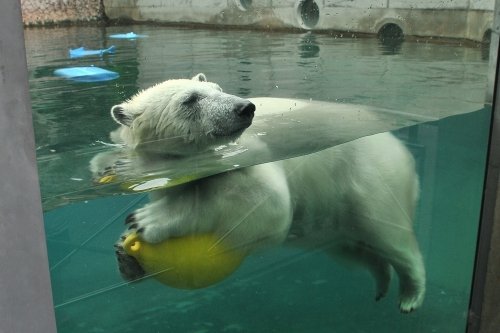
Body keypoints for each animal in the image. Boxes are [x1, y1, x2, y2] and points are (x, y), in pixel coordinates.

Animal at [107, 72, 424, 312]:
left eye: (218, 88)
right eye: (190, 99)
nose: (244, 108)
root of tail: (400, 147)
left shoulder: (250, 154)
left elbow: (266, 200)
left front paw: (148, 220)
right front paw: (125, 255)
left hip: (370, 176)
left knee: (389, 234)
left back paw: (410, 295)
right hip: (331, 211)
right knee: (351, 248)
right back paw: (381, 282)